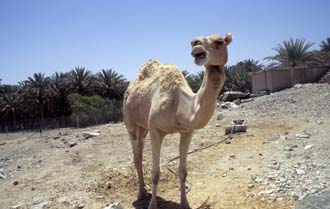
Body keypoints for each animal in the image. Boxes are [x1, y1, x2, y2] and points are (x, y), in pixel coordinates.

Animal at [122, 33, 233, 209]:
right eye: (193, 42)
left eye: (219, 41)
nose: (195, 43)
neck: (178, 106)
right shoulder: (155, 130)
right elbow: (156, 173)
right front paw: (153, 205)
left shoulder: (187, 132)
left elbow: (183, 171)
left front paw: (185, 203)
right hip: (130, 122)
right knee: (137, 156)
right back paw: (140, 193)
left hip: (143, 128)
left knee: (139, 149)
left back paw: (144, 189)